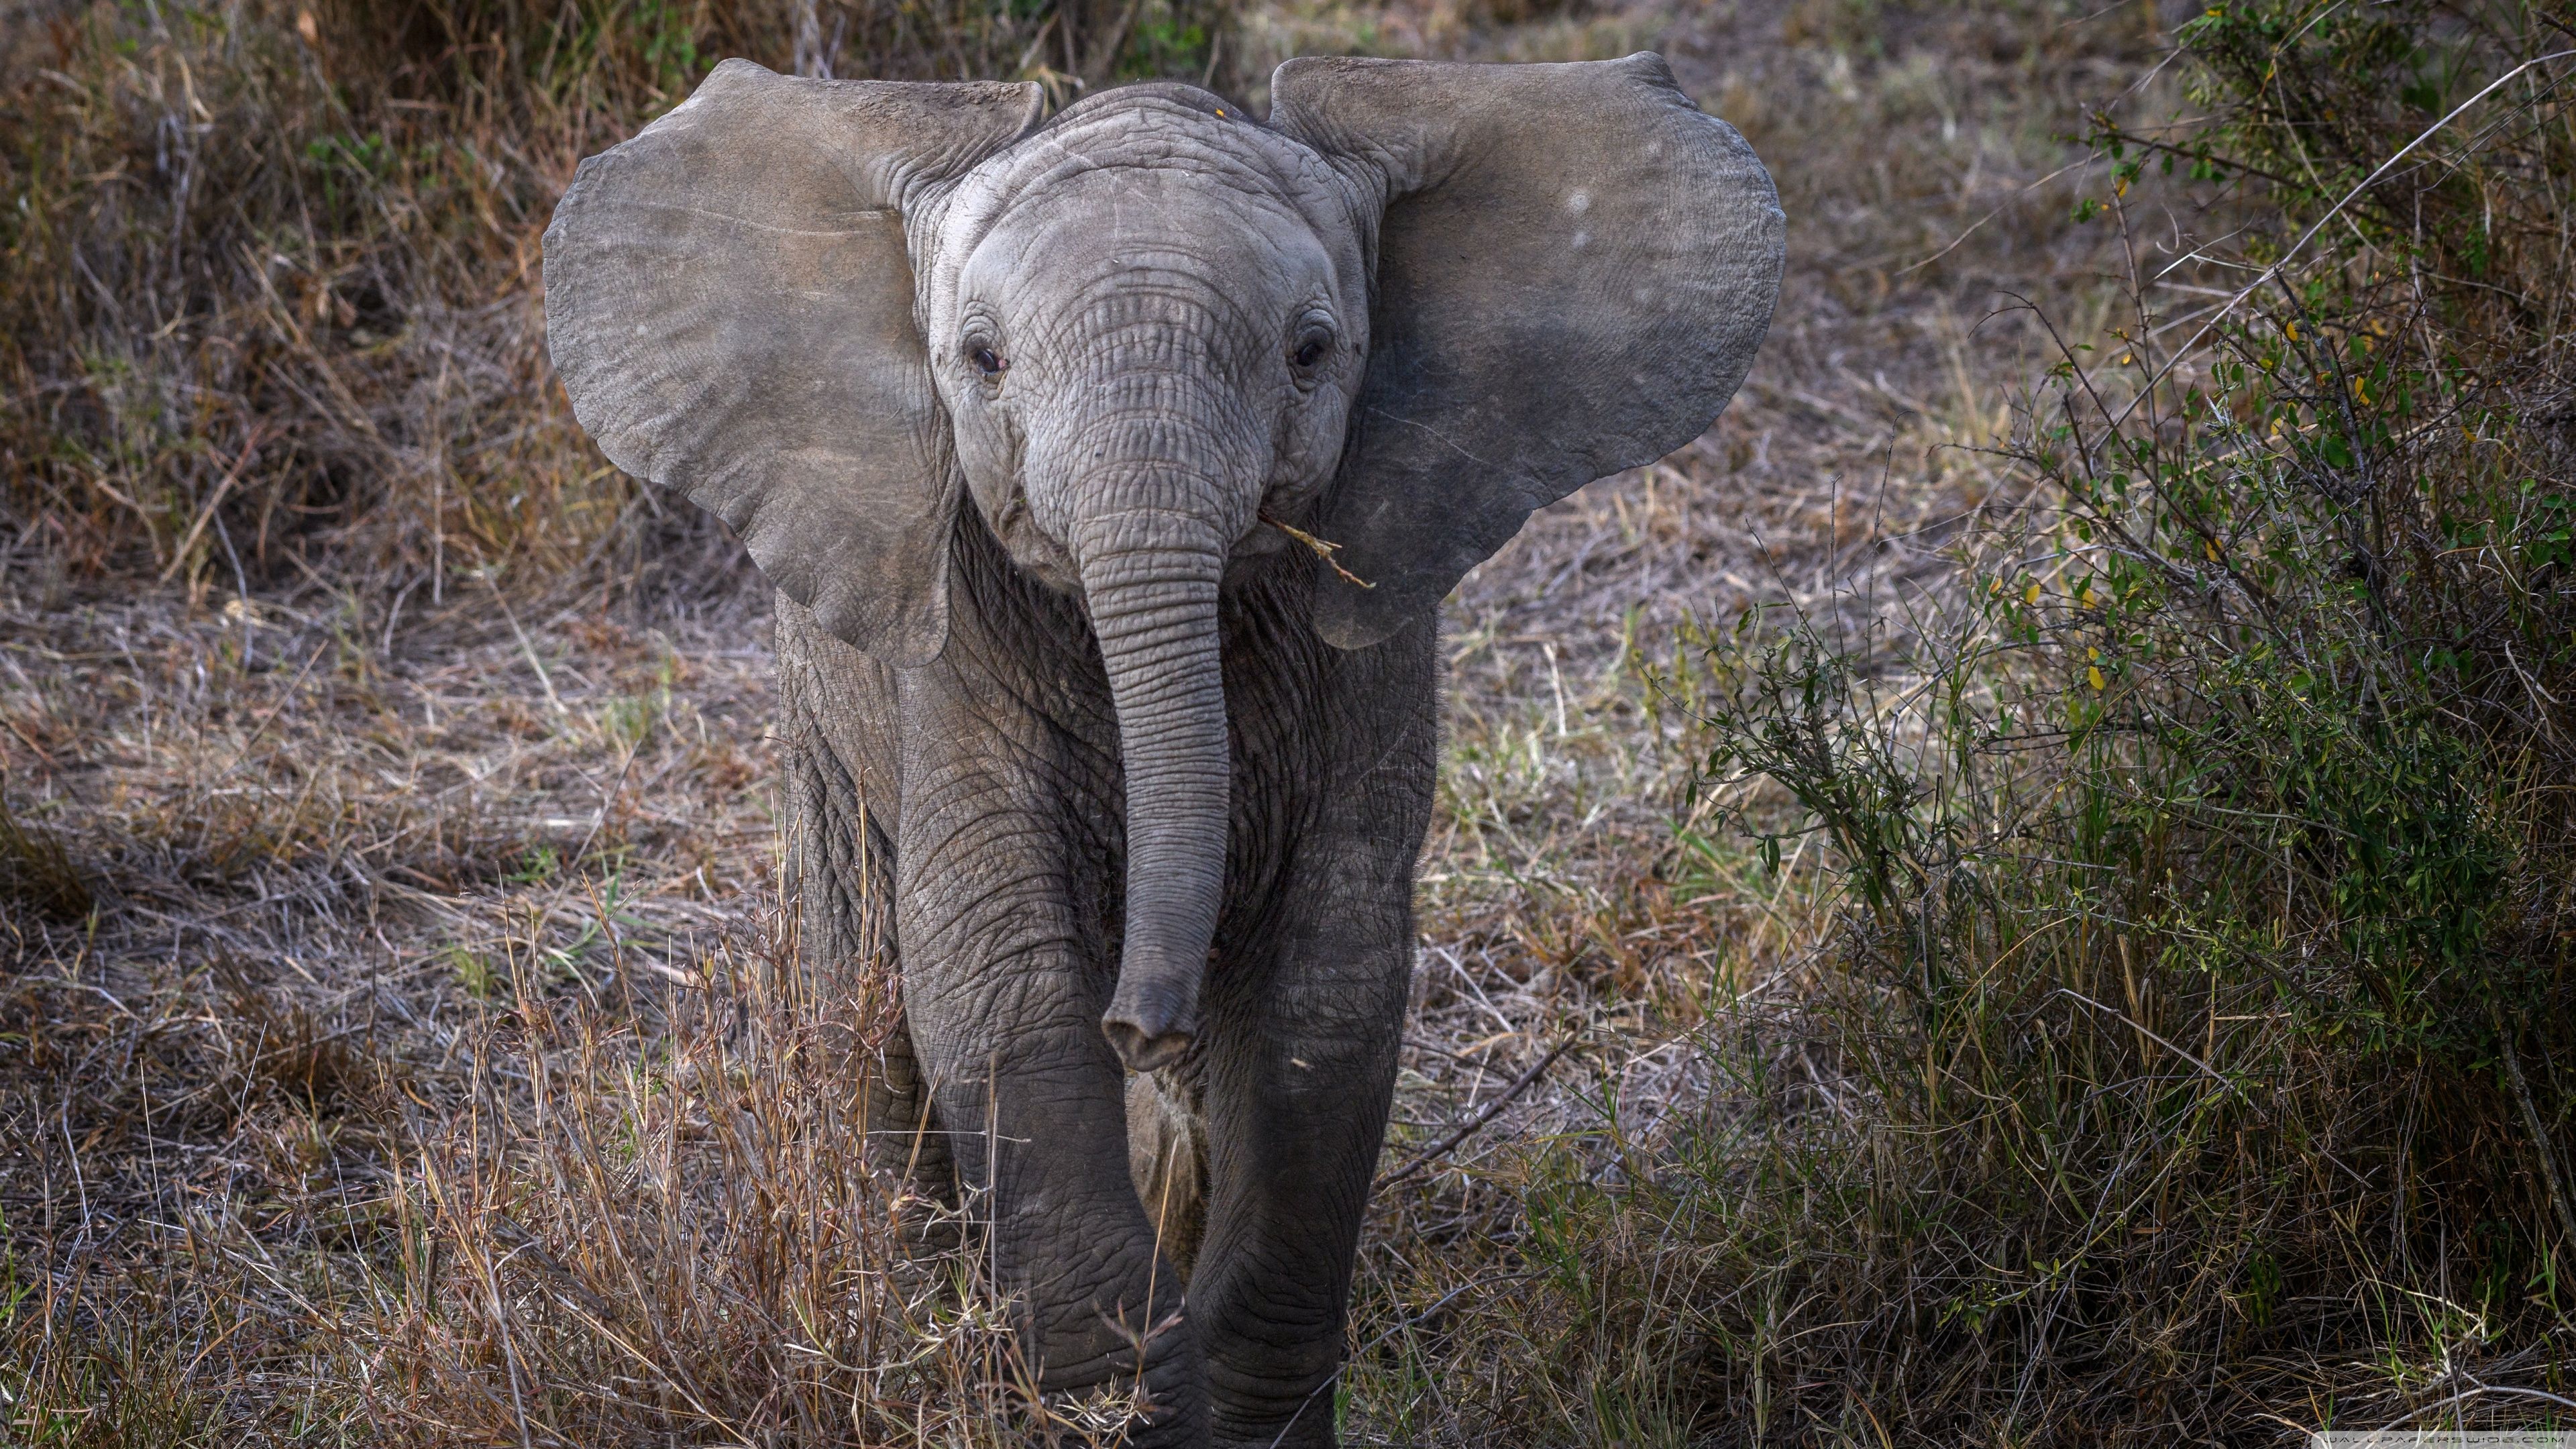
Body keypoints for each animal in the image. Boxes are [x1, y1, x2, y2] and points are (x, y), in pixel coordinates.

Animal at [542, 51, 1780, 1446]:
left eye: (1312, 352)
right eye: (981, 358)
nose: (1143, 1027)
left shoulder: (1375, 626)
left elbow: (1327, 993)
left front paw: (1236, 1395)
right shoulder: (951, 646)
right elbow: (1002, 988)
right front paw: (1116, 1391)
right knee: (857, 986)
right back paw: (915, 1333)